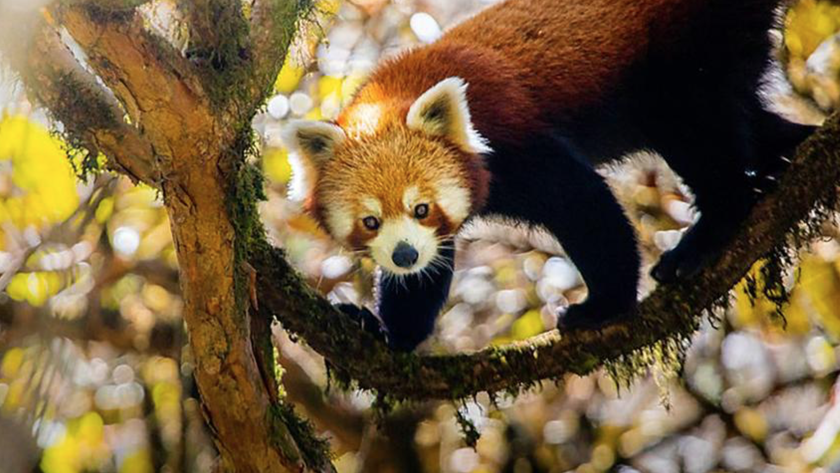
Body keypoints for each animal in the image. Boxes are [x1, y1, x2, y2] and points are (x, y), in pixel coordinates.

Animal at [282, 0, 812, 348]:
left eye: (421, 207)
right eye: (370, 222)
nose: (404, 254)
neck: (397, 89)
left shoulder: (517, 143)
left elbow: (585, 205)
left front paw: (605, 305)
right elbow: (426, 276)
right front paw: (387, 331)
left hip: (686, 41)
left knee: (698, 128)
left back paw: (708, 233)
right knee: (745, 117)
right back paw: (788, 156)